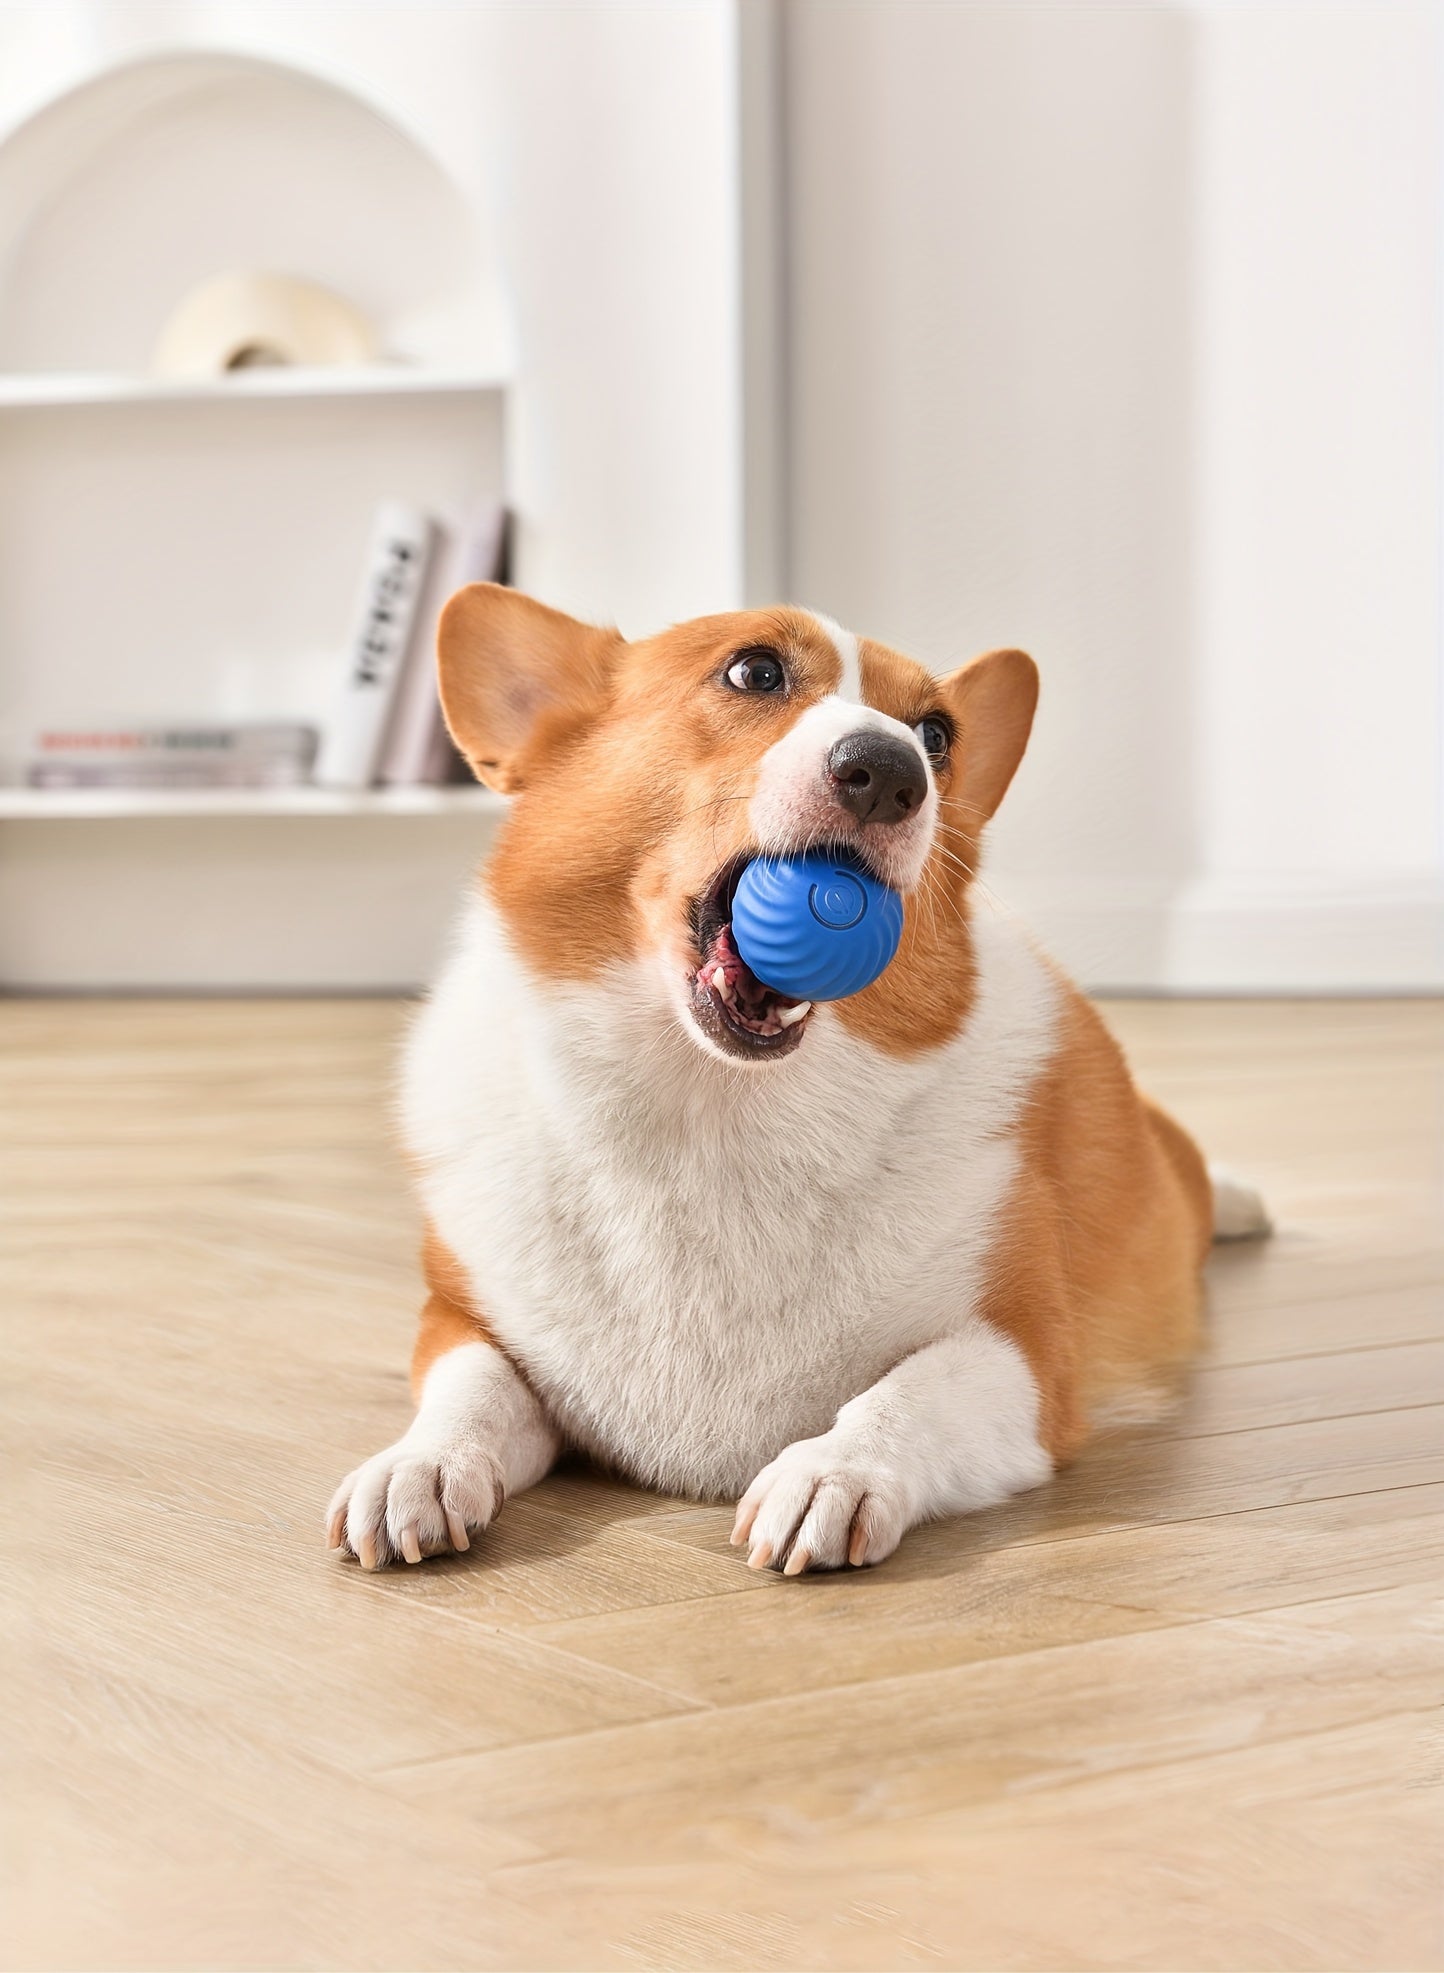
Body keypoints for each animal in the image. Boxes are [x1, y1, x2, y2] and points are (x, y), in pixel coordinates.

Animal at [323, 584, 1262, 1570]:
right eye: (754, 671)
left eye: (936, 733)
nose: (889, 771)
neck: (709, 1112)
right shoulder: (457, 1316)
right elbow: (470, 1388)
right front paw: (418, 1466)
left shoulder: (1029, 1355)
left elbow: (909, 1391)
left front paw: (832, 1472)